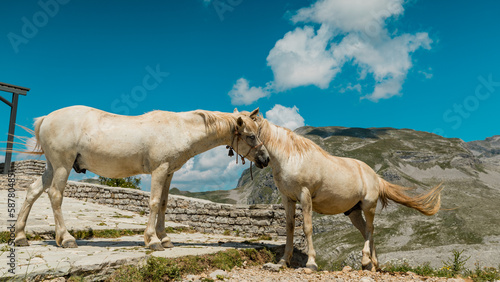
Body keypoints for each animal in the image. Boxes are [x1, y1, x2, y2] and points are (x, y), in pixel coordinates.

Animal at [14, 104, 270, 250]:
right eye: (250, 135)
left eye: (258, 133)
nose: (265, 159)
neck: (180, 129)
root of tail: (46, 118)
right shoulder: (159, 170)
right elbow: (155, 203)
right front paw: (153, 240)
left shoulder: (169, 172)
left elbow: (165, 204)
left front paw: (165, 238)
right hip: (62, 167)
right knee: (55, 195)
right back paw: (66, 238)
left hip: (51, 167)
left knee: (32, 191)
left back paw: (20, 236)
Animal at [249, 114, 442, 270]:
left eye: (249, 134)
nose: (263, 160)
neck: (292, 157)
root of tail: (376, 176)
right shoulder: (288, 199)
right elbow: (289, 228)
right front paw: (283, 262)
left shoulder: (305, 196)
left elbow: (307, 228)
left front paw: (311, 263)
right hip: (353, 212)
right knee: (366, 231)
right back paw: (373, 265)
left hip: (369, 206)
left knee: (370, 229)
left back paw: (366, 260)